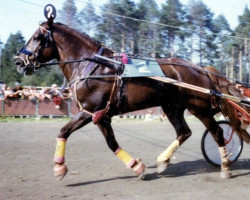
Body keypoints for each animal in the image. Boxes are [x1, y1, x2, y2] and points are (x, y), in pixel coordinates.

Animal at [14, 19, 250, 180]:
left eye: (37, 37)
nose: (19, 60)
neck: (94, 65)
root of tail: (200, 69)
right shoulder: (101, 115)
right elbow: (106, 141)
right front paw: (138, 166)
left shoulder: (92, 111)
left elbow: (69, 132)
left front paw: (59, 167)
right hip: (172, 107)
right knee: (184, 132)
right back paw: (163, 160)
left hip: (198, 107)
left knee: (217, 132)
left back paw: (225, 166)